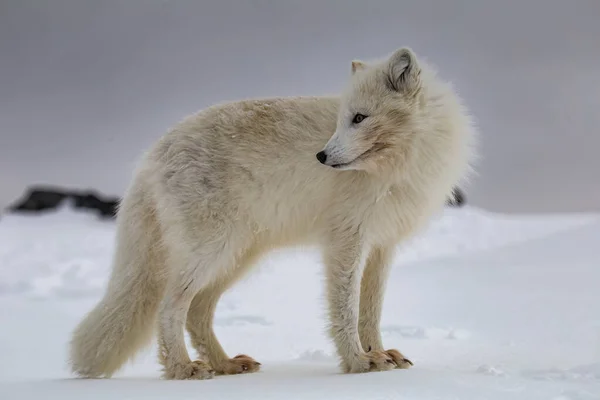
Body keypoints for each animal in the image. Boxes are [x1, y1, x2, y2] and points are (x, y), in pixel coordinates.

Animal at [68, 45, 476, 380]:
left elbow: (370, 309)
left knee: (197, 313)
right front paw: (358, 362)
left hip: (237, 258)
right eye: (343, 119)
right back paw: (183, 368)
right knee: (169, 308)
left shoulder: (382, 245)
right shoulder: (345, 240)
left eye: (359, 118)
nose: (321, 157)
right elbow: (345, 309)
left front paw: (380, 355)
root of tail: (153, 153)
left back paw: (224, 364)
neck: (398, 167)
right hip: (213, 252)